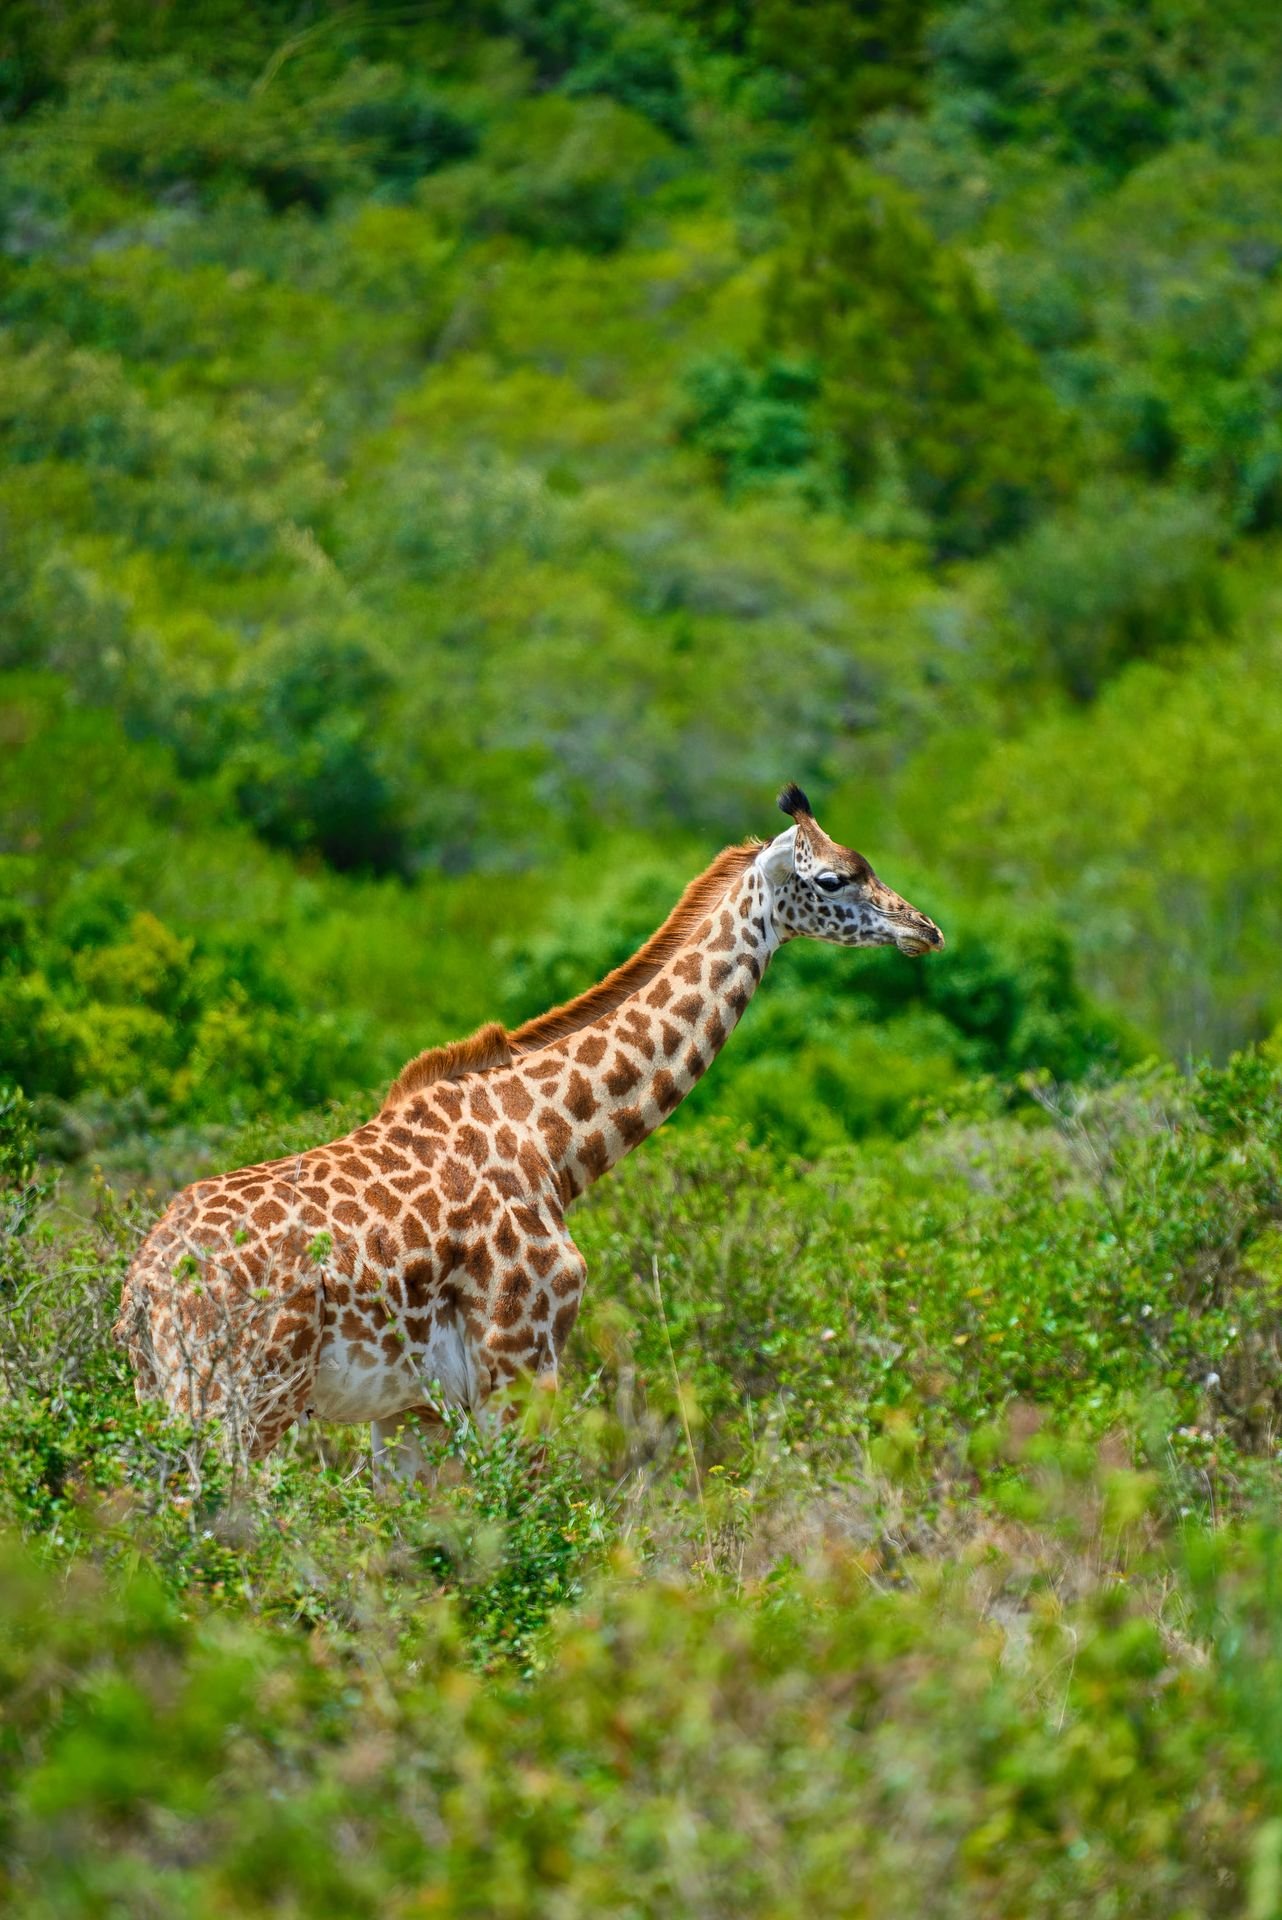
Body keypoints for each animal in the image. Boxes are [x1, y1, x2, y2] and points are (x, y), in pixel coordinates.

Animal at [116, 786, 944, 1474]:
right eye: (834, 878)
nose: (926, 928)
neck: (553, 1142)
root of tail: (148, 1285)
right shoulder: (521, 1360)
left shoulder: (412, 1407)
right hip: (245, 1396)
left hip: (163, 1396)